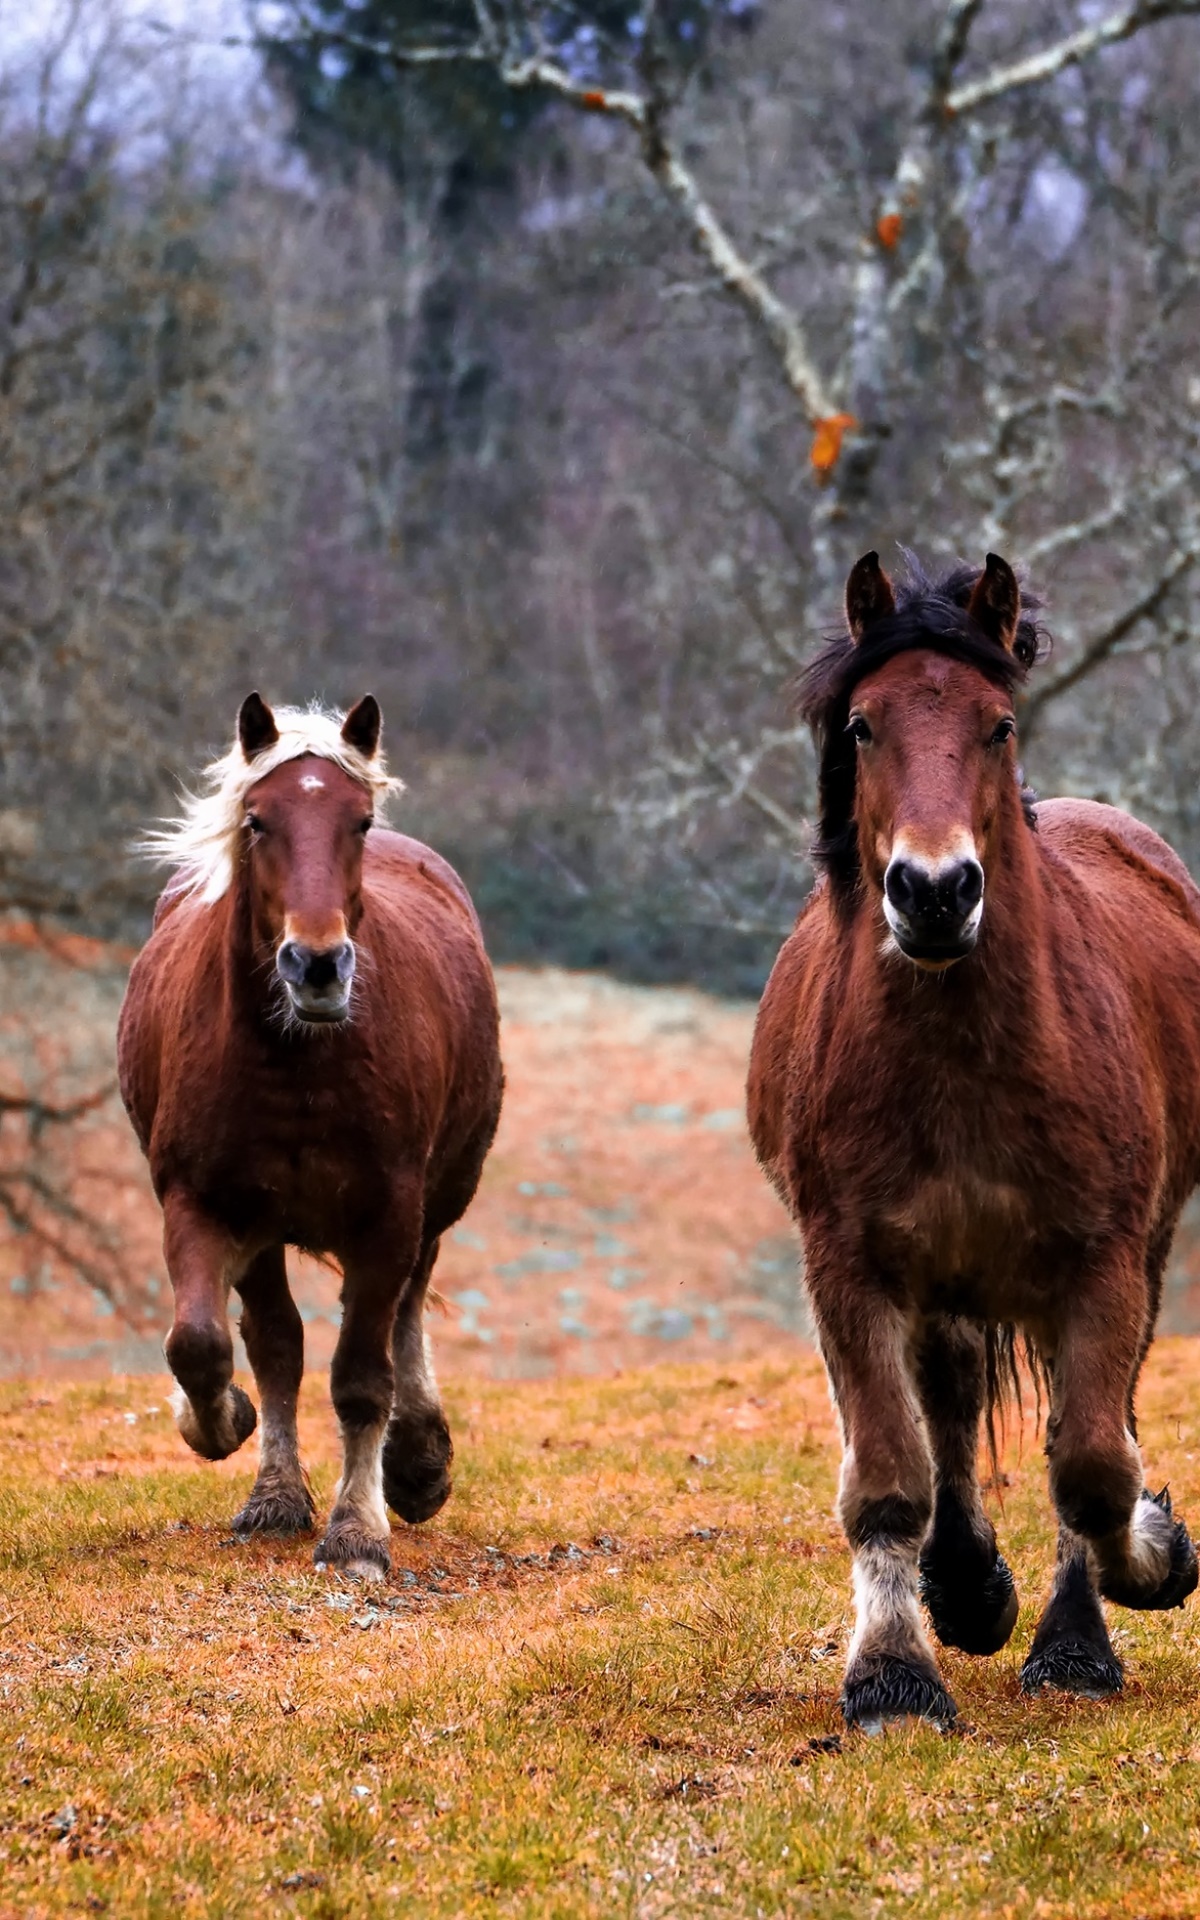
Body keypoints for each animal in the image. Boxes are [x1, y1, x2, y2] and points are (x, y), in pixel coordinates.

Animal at [118, 693, 503, 1578]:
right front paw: (223, 1426)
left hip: (437, 1200)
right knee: (277, 1342)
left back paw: (417, 1463)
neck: (296, 1063)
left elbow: (362, 1376)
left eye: (358, 821)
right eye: (257, 820)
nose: (317, 966)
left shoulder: (389, 1214)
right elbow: (206, 1346)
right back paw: (279, 1488)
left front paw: (359, 1530)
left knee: (405, 1315)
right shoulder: (203, 1205)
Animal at [747, 551, 1200, 1730]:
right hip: (943, 1278)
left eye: (999, 724)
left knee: (1089, 1424)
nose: (936, 892)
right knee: (948, 1411)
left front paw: (1142, 1574)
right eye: (863, 726)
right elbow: (889, 1473)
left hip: (1129, 1255)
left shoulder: (1101, 1262)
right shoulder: (850, 1267)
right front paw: (895, 1672)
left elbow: (1093, 1465)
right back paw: (964, 1585)